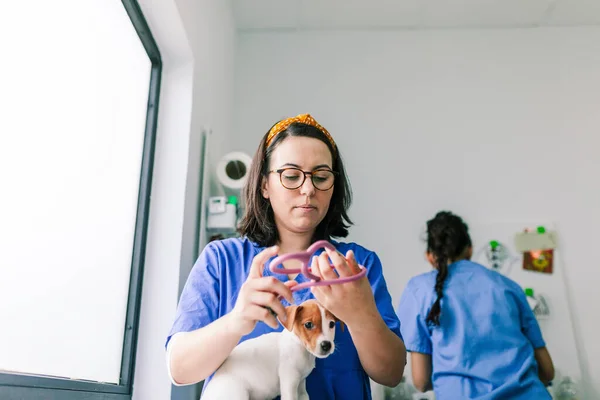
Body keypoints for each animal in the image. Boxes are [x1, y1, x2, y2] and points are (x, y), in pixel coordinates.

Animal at [202, 300, 340, 400]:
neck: (300, 347)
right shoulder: (289, 382)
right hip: (238, 394)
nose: (327, 345)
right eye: (309, 324)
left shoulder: (301, 386)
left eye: (332, 324)